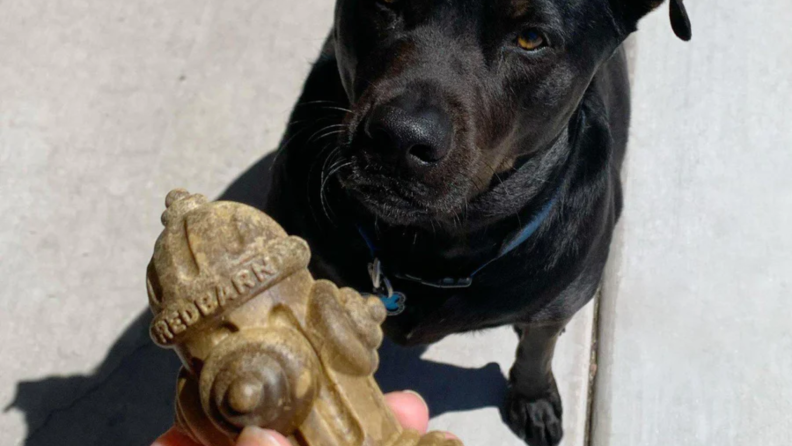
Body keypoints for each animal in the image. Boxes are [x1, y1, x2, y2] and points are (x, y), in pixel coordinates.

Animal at [264, 1, 688, 444]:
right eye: (387, 1)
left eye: (531, 39)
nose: (399, 139)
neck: (431, 247)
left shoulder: (558, 302)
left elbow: (538, 350)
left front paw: (533, 400)